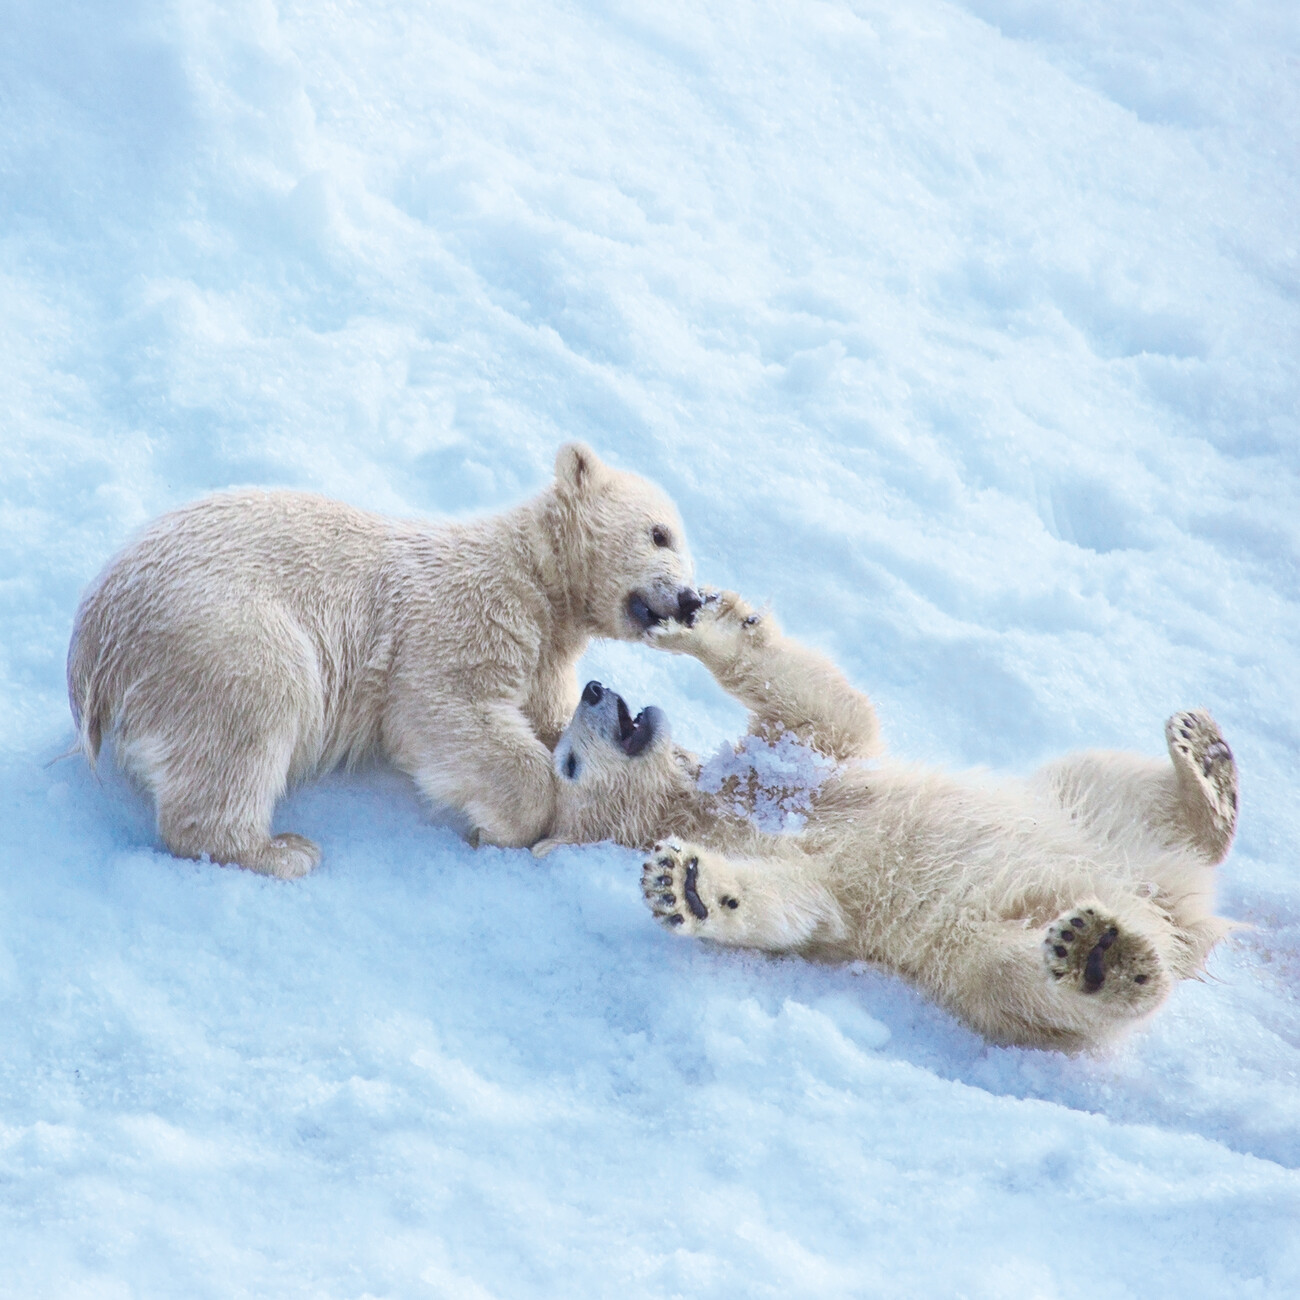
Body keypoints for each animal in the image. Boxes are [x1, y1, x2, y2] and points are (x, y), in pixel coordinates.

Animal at [68, 441, 702, 878]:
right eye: (660, 534)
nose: (693, 600)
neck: (533, 575)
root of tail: (95, 640)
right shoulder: (463, 611)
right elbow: (439, 706)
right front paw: (504, 824)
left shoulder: (545, 655)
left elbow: (550, 715)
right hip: (219, 631)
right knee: (252, 712)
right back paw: (281, 851)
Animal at [540, 595, 1237, 1050]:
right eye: (568, 762)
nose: (593, 688)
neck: (709, 800)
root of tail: (1177, 915)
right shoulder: (793, 862)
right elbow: (802, 905)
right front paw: (683, 885)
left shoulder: (800, 766)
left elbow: (826, 710)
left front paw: (696, 621)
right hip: (975, 947)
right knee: (1013, 980)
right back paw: (1098, 957)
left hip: (1086, 808)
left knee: (1113, 780)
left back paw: (1203, 763)